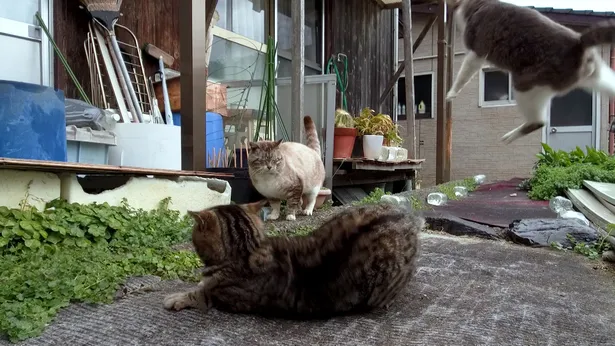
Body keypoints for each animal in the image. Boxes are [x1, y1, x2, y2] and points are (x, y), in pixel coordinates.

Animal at [446, 0, 615, 143]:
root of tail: (579, 43)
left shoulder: (478, 51)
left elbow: (463, 74)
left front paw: (451, 93)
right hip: (594, 79)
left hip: (526, 83)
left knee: (538, 122)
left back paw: (509, 137)